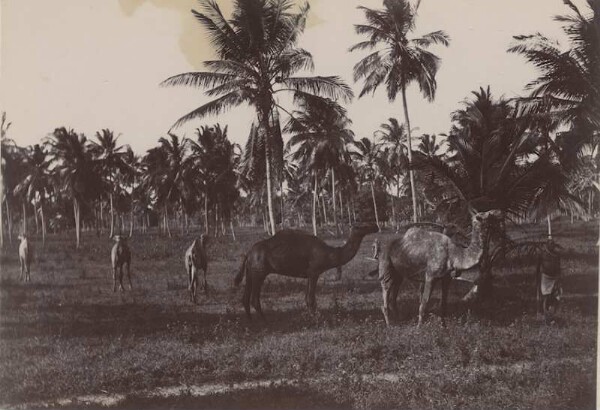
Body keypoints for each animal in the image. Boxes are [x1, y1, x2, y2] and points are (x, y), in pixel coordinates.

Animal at [233, 224, 378, 320]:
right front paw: (315, 318)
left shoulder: (309, 274)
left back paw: (250, 320)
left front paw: (310, 316)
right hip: (259, 272)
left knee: (245, 297)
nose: (375, 226)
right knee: (254, 299)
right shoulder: (314, 272)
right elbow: (311, 299)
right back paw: (264, 320)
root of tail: (249, 252)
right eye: (362, 225)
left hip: (250, 272)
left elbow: (307, 299)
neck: (330, 254)